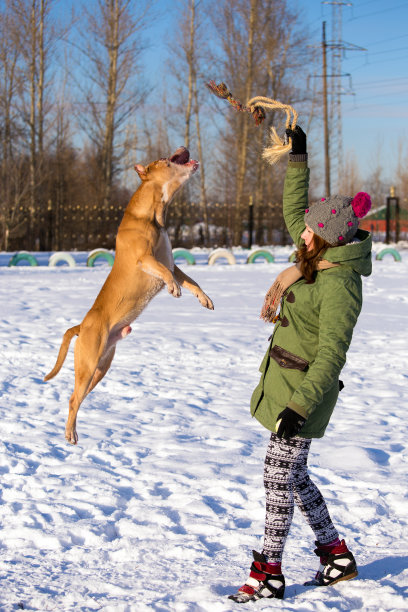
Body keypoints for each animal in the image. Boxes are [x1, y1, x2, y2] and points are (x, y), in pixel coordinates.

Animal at [43, 148, 214, 444]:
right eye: (163, 159)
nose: (182, 149)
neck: (155, 212)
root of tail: (82, 326)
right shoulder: (145, 259)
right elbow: (165, 274)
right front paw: (174, 289)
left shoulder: (172, 264)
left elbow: (192, 281)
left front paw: (203, 298)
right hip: (88, 363)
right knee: (73, 399)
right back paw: (70, 433)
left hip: (101, 367)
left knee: (78, 397)